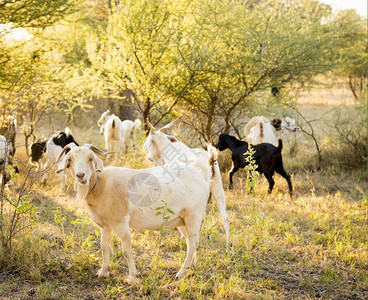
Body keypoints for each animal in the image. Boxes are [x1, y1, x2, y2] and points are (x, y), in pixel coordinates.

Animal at [55, 144, 211, 282]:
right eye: (70, 160)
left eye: (90, 158)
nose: (81, 176)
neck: (100, 184)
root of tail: (201, 176)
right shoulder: (105, 225)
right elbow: (104, 247)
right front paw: (103, 272)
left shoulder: (121, 222)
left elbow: (126, 250)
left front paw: (133, 276)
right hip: (182, 221)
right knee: (191, 242)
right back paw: (191, 266)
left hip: (193, 217)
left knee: (193, 242)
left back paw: (181, 272)